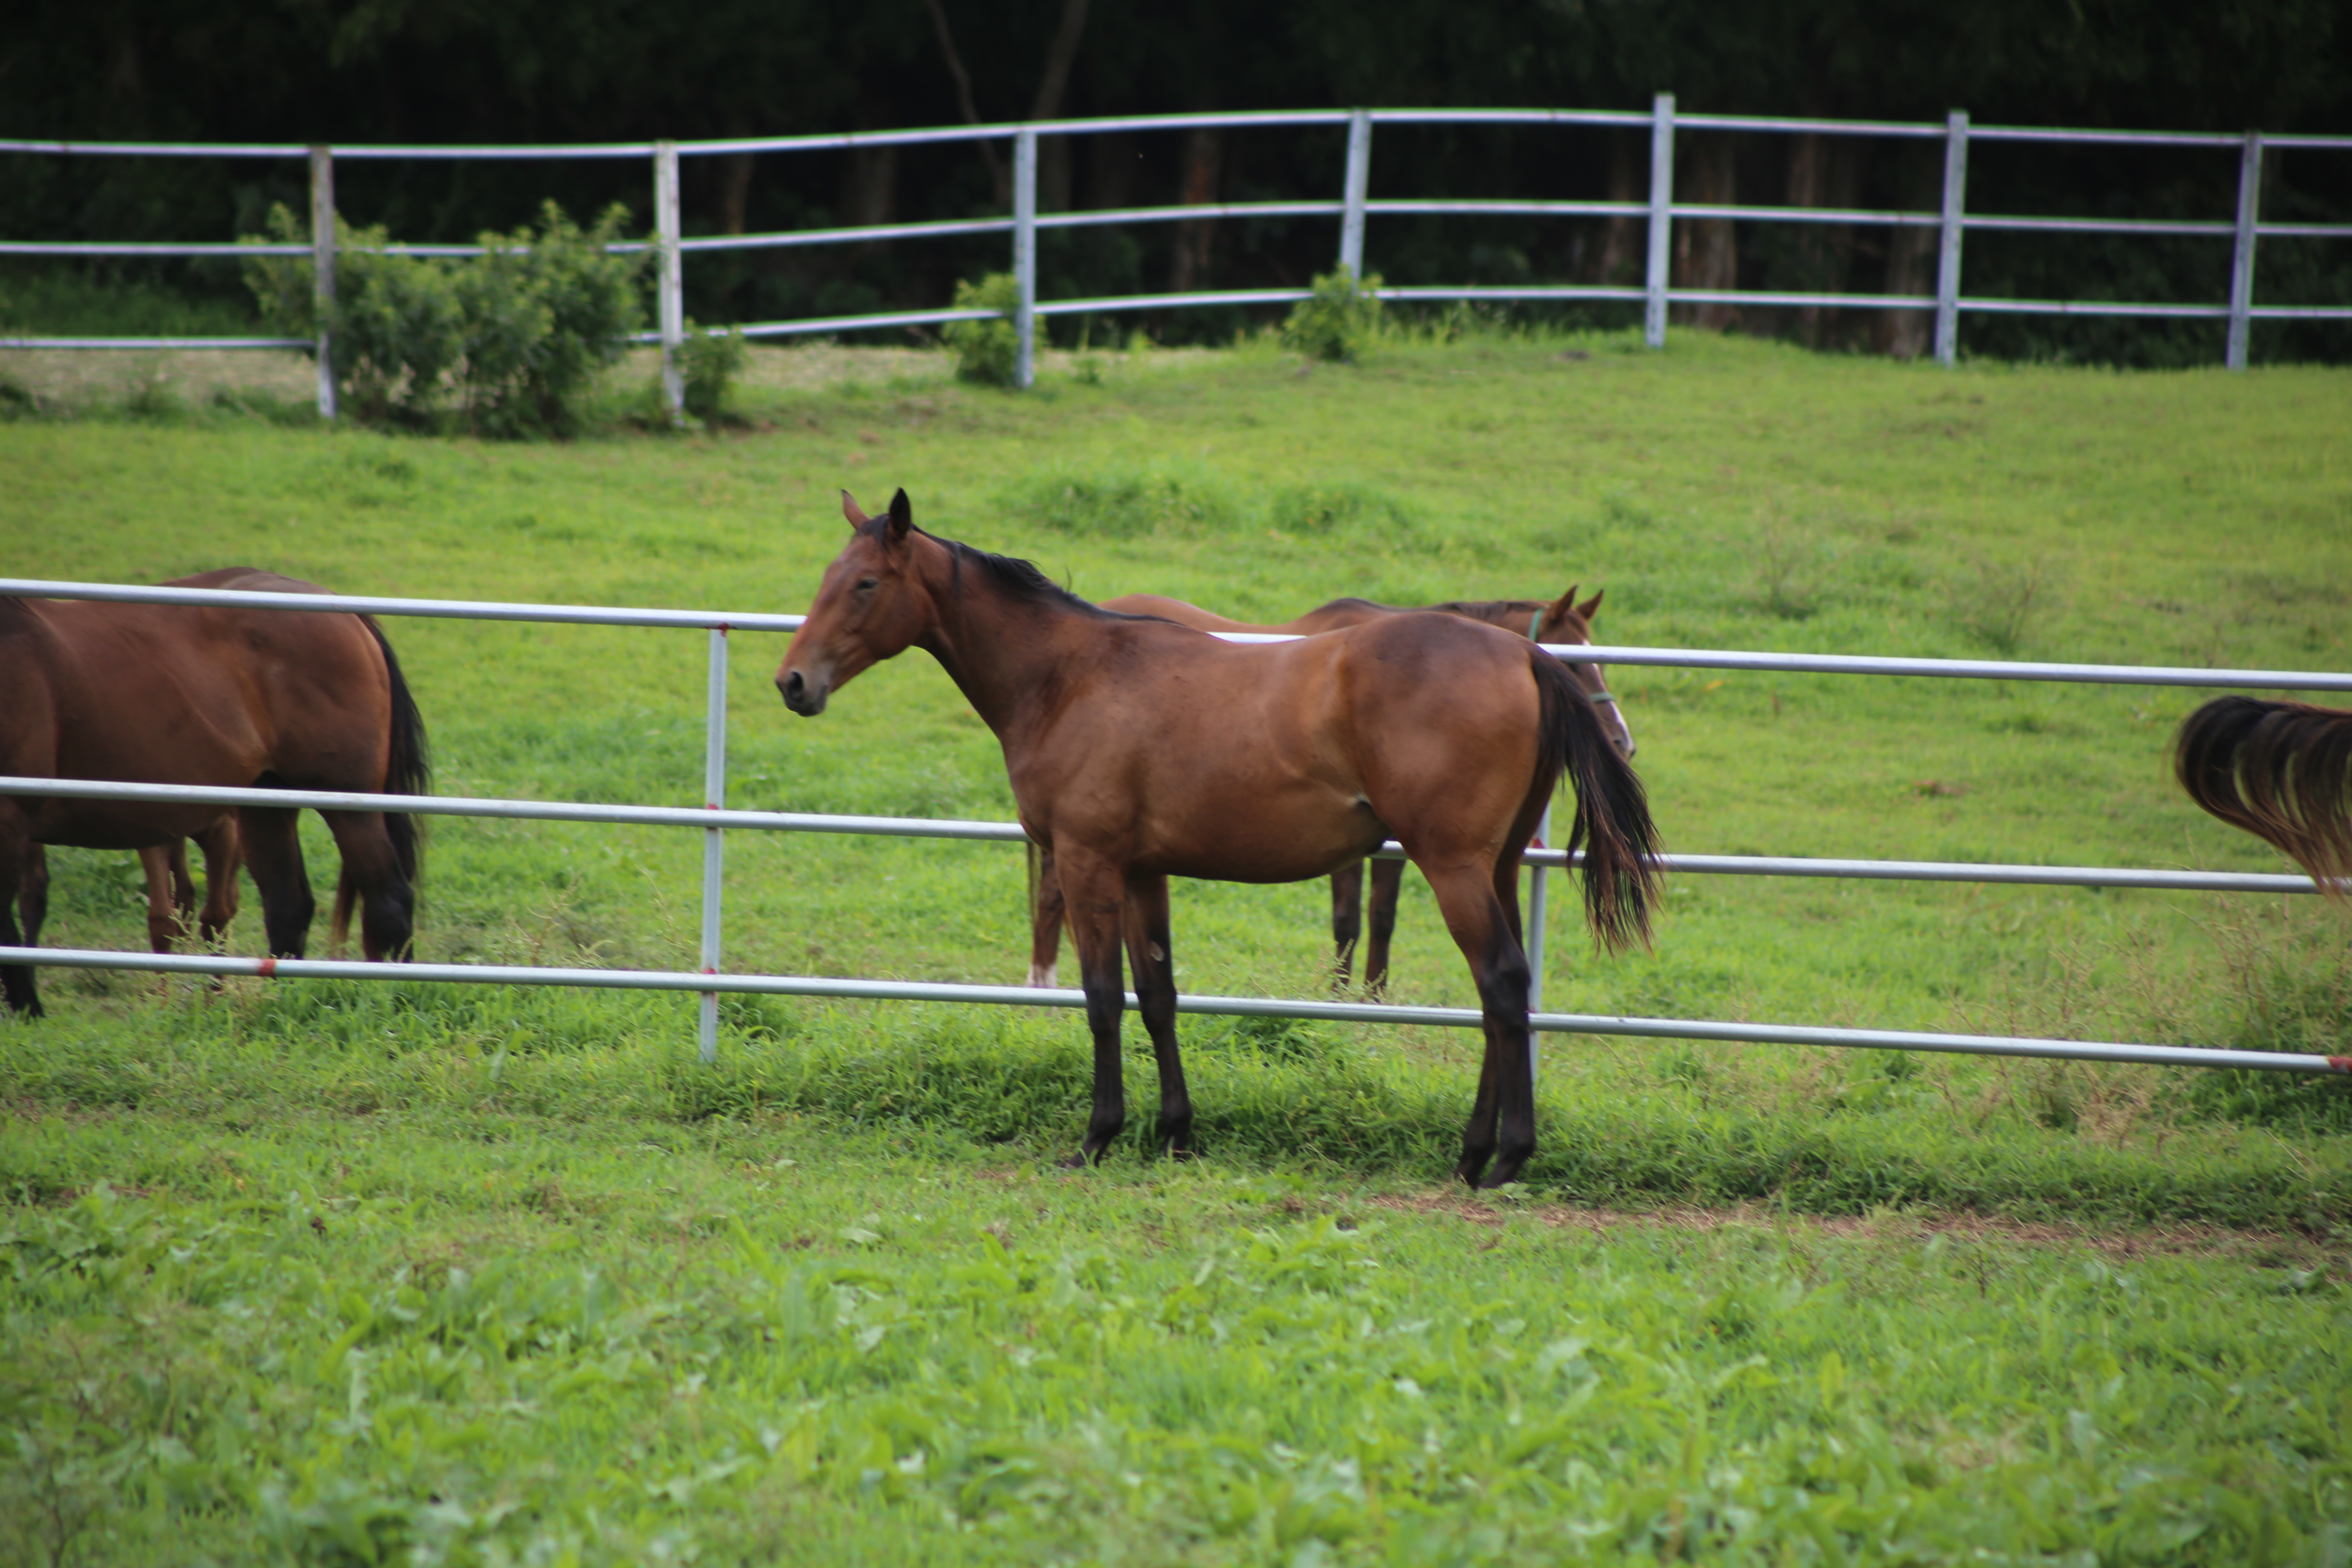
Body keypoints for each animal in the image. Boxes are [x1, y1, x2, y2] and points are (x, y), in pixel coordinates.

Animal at [1, 566, 428, 1020]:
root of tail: (341, 609)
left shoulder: (12, 816)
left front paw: (28, 1009)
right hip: (266, 806)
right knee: (289, 907)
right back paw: (283, 1001)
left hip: (348, 804)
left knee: (389, 899)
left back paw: (396, 997)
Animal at [1030, 588, 1637, 992]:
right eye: (1576, 664)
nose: (1622, 742)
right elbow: (1352, 918)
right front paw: (1346, 996)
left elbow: (1380, 917)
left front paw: (1371, 997)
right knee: (1052, 894)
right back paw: (1043, 985)